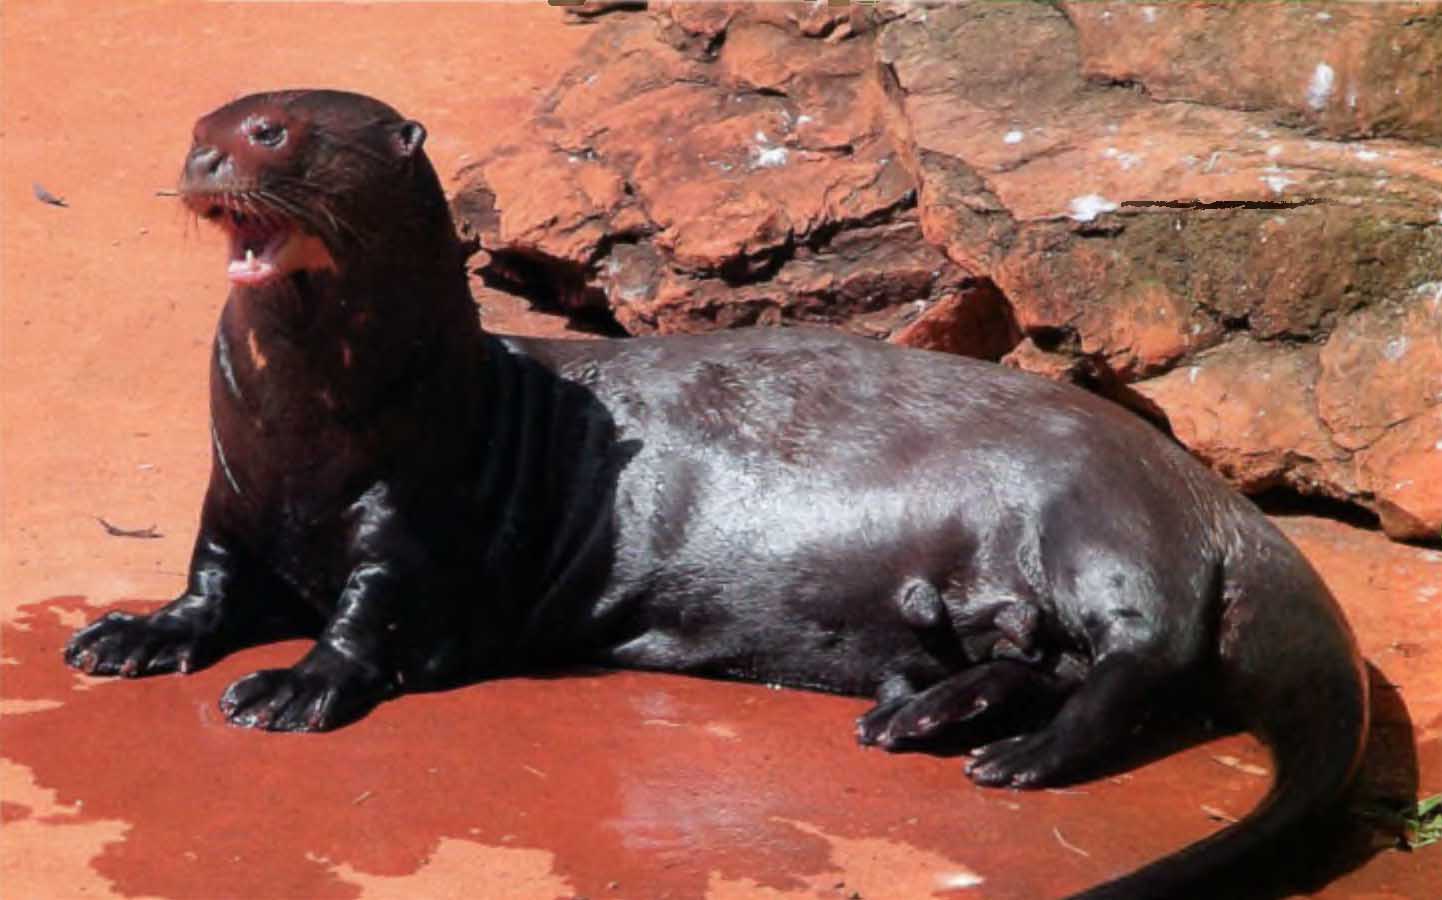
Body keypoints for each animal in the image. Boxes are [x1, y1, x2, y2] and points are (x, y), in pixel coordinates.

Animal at [64, 87, 1361, 894]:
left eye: (271, 131)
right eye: (201, 125)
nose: (203, 163)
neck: (313, 434)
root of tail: (1205, 494)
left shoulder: (414, 516)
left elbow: (368, 618)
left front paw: (291, 685)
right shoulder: (232, 499)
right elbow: (205, 586)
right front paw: (130, 635)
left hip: (1087, 516)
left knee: (1140, 659)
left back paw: (1021, 758)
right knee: (1042, 658)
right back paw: (923, 716)